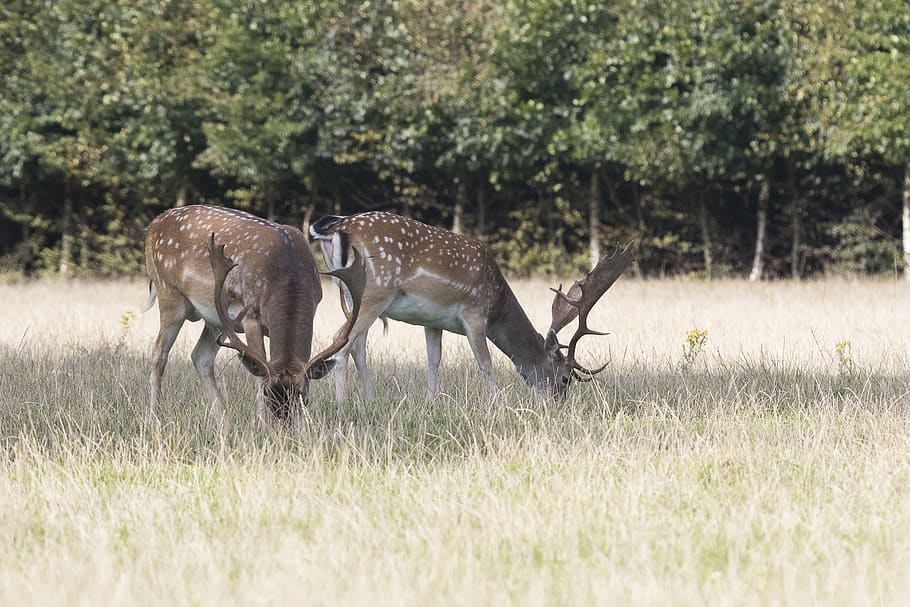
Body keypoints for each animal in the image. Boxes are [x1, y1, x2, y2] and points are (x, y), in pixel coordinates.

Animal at [143, 204, 365, 430]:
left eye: (304, 396)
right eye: (267, 393)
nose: (283, 427)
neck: (288, 274)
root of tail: (153, 225)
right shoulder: (250, 314)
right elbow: (258, 372)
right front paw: (262, 425)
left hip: (216, 319)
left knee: (200, 356)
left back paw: (224, 425)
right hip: (169, 293)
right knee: (158, 354)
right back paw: (154, 420)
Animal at [309, 211, 632, 401]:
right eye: (565, 378)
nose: (558, 404)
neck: (498, 303)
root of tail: (336, 226)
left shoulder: (432, 321)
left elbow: (433, 360)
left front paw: (430, 403)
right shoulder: (475, 313)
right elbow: (485, 363)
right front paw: (498, 405)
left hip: (353, 296)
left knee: (354, 344)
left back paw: (370, 400)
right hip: (377, 290)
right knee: (343, 344)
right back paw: (342, 404)